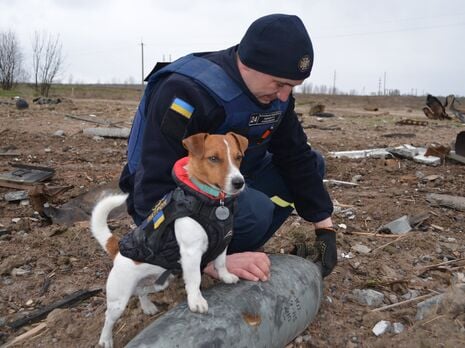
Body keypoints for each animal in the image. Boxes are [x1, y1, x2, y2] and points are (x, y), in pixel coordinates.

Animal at [92, 132, 248, 346]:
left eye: (238, 157)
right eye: (214, 158)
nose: (239, 182)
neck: (214, 203)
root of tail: (117, 251)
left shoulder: (223, 242)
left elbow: (221, 262)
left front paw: (225, 276)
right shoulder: (191, 253)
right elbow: (195, 279)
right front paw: (196, 301)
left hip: (159, 282)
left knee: (142, 291)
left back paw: (148, 306)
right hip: (119, 299)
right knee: (109, 317)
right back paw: (106, 339)